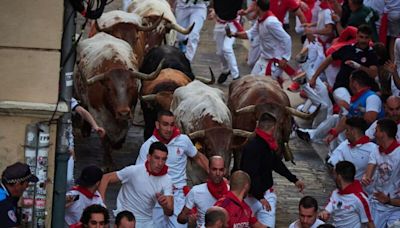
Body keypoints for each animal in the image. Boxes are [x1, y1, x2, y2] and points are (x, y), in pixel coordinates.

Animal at [74, 32, 163, 167]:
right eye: (109, 89)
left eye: (132, 87)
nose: (123, 113)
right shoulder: (98, 115)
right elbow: (105, 138)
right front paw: (108, 164)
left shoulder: (130, 112)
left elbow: (119, 137)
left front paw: (117, 145)